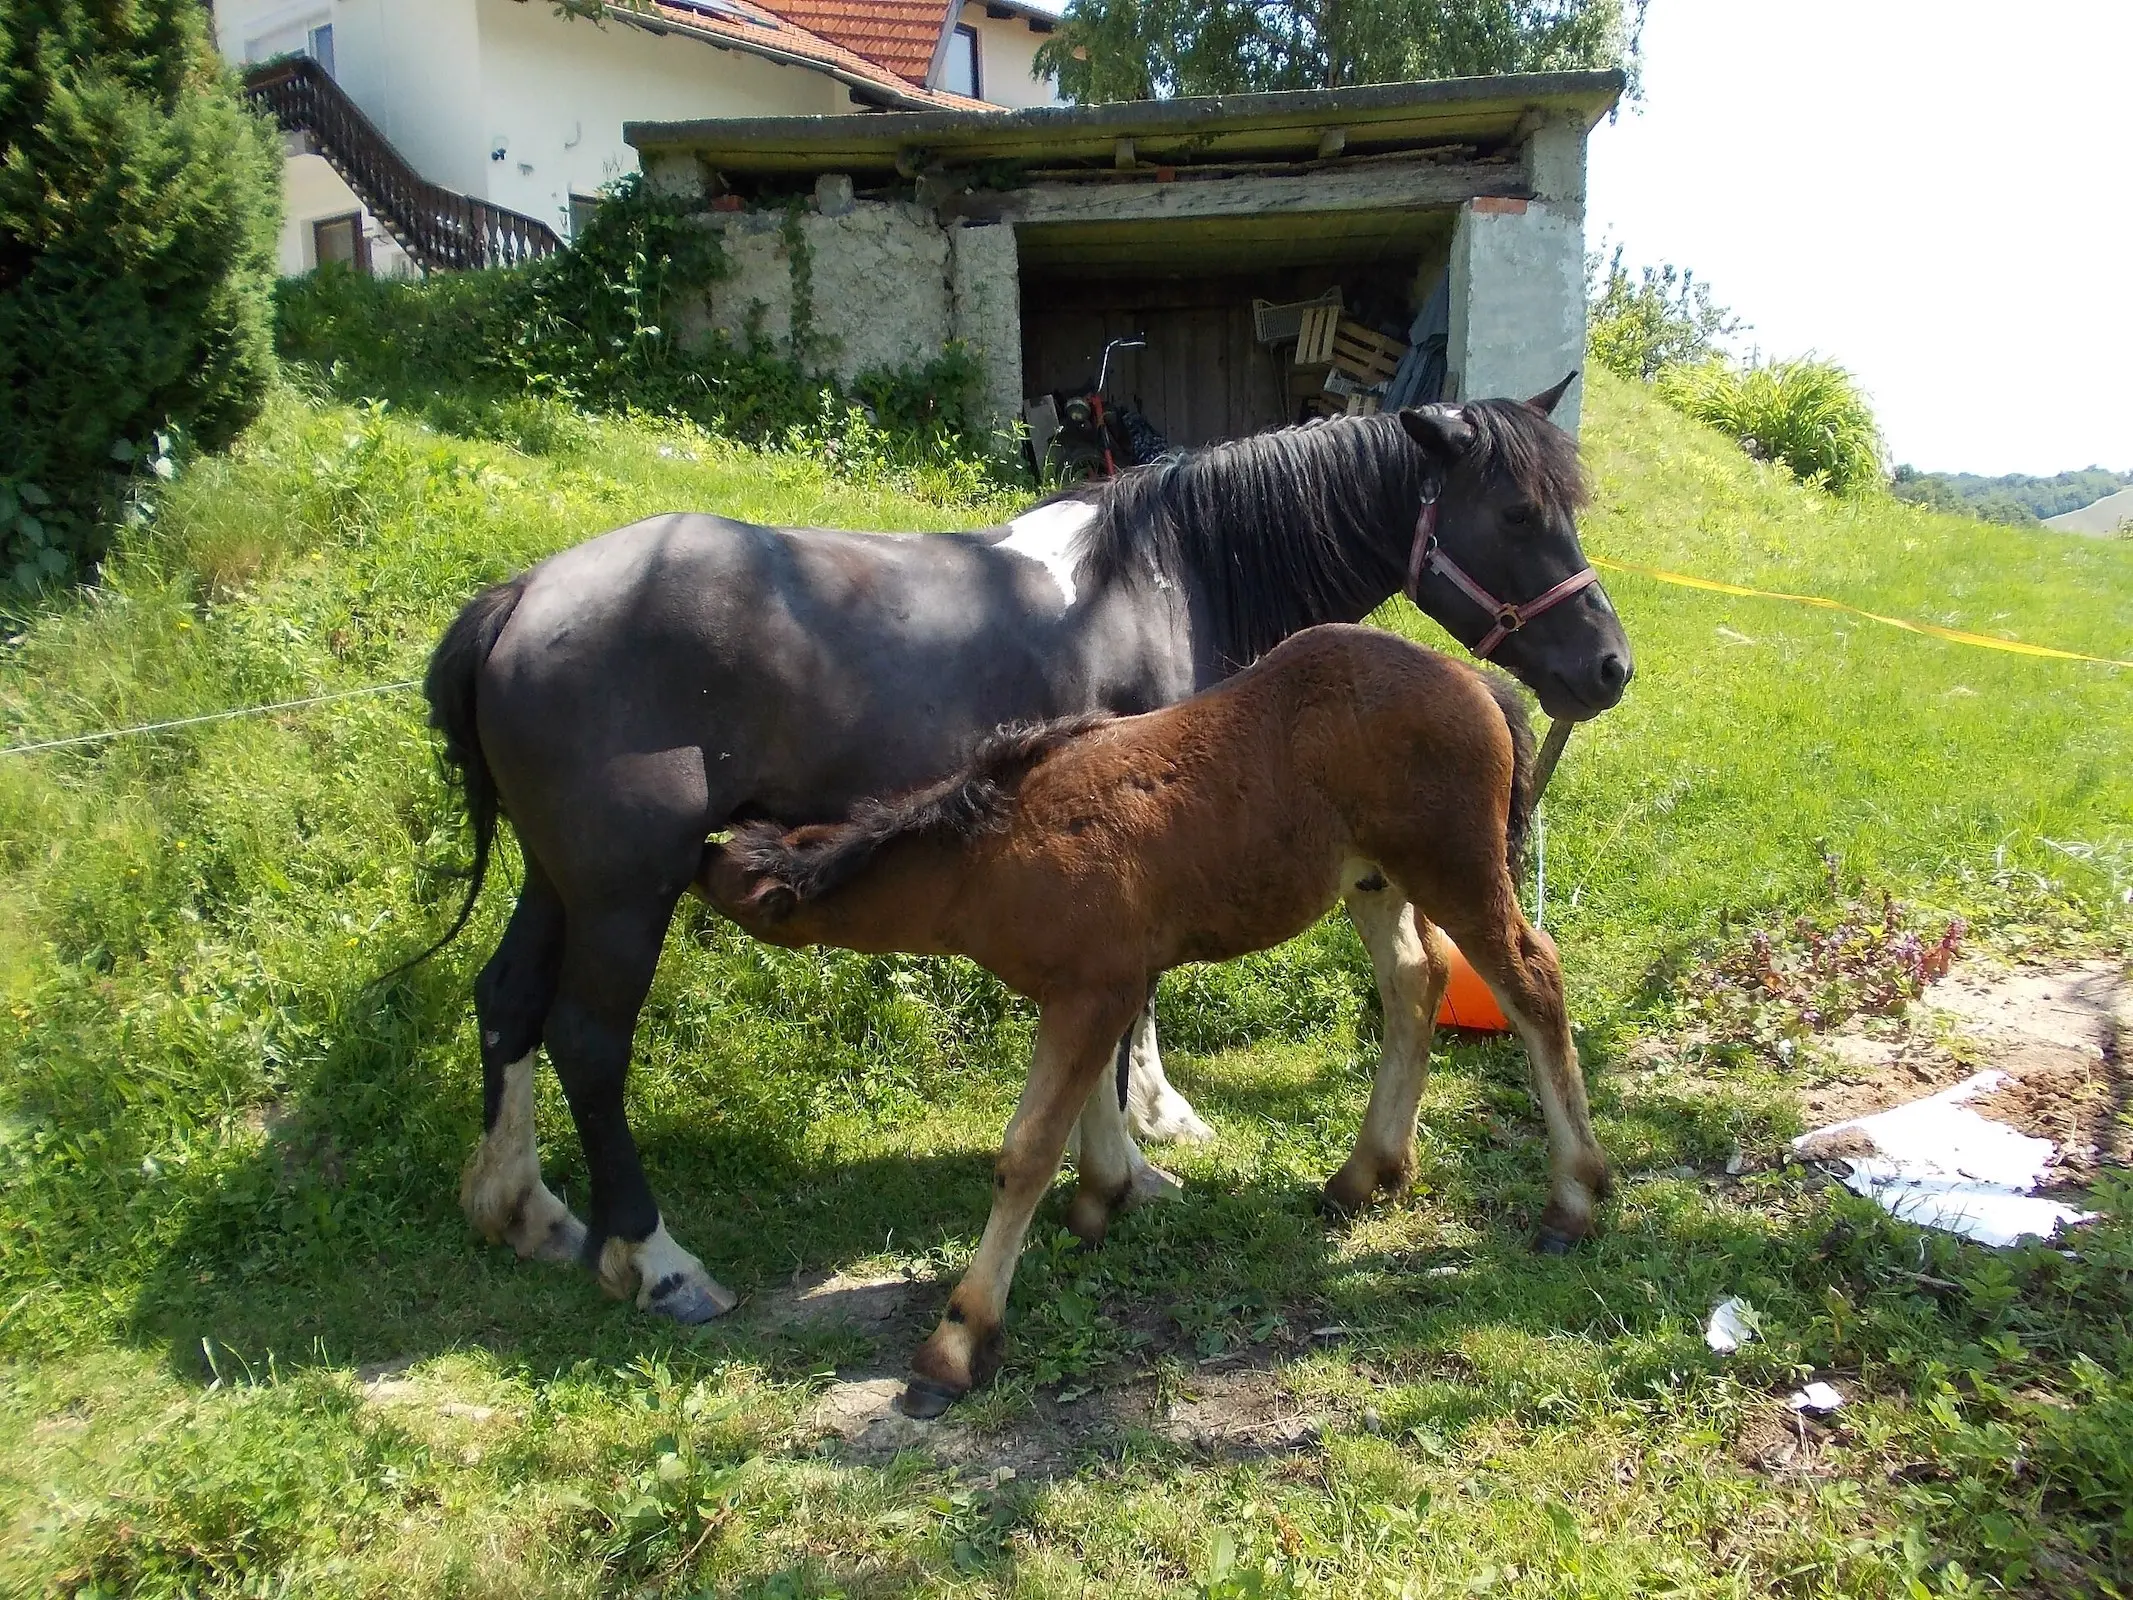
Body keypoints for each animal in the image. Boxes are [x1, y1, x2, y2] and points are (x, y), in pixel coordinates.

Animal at [428, 381, 1629, 1322]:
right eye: (1517, 511)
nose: (1609, 666)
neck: (1159, 573)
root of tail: (523, 596)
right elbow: (1133, 1012)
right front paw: (1142, 1144)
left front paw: (1137, 1140)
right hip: (625, 889)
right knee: (589, 1040)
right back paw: (659, 1260)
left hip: (562, 880)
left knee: (509, 1001)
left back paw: (523, 1210)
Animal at [691, 618, 1604, 1425]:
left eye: (737, 880)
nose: (694, 854)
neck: (987, 856)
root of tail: (1475, 681)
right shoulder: (1092, 986)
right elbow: (1092, 1101)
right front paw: (1102, 1198)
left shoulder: (1093, 989)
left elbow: (1026, 1152)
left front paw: (955, 1346)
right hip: (1374, 880)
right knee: (1415, 980)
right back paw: (1366, 1172)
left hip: (1456, 868)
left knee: (1532, 980)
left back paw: (1571, 1201)